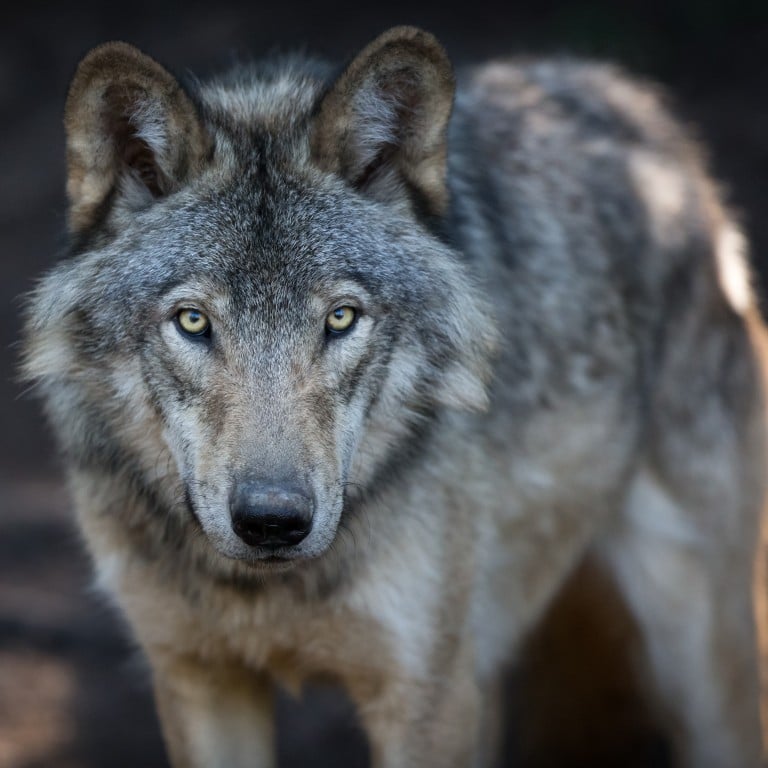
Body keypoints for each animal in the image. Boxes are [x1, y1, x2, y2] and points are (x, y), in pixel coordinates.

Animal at [22, 25, 767, 767]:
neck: (267, 591)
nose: (272, 522)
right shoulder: (198, 680)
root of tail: (635, 105)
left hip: (695, 661)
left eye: (341, 318)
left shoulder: (425, 699)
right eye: (193, 322)